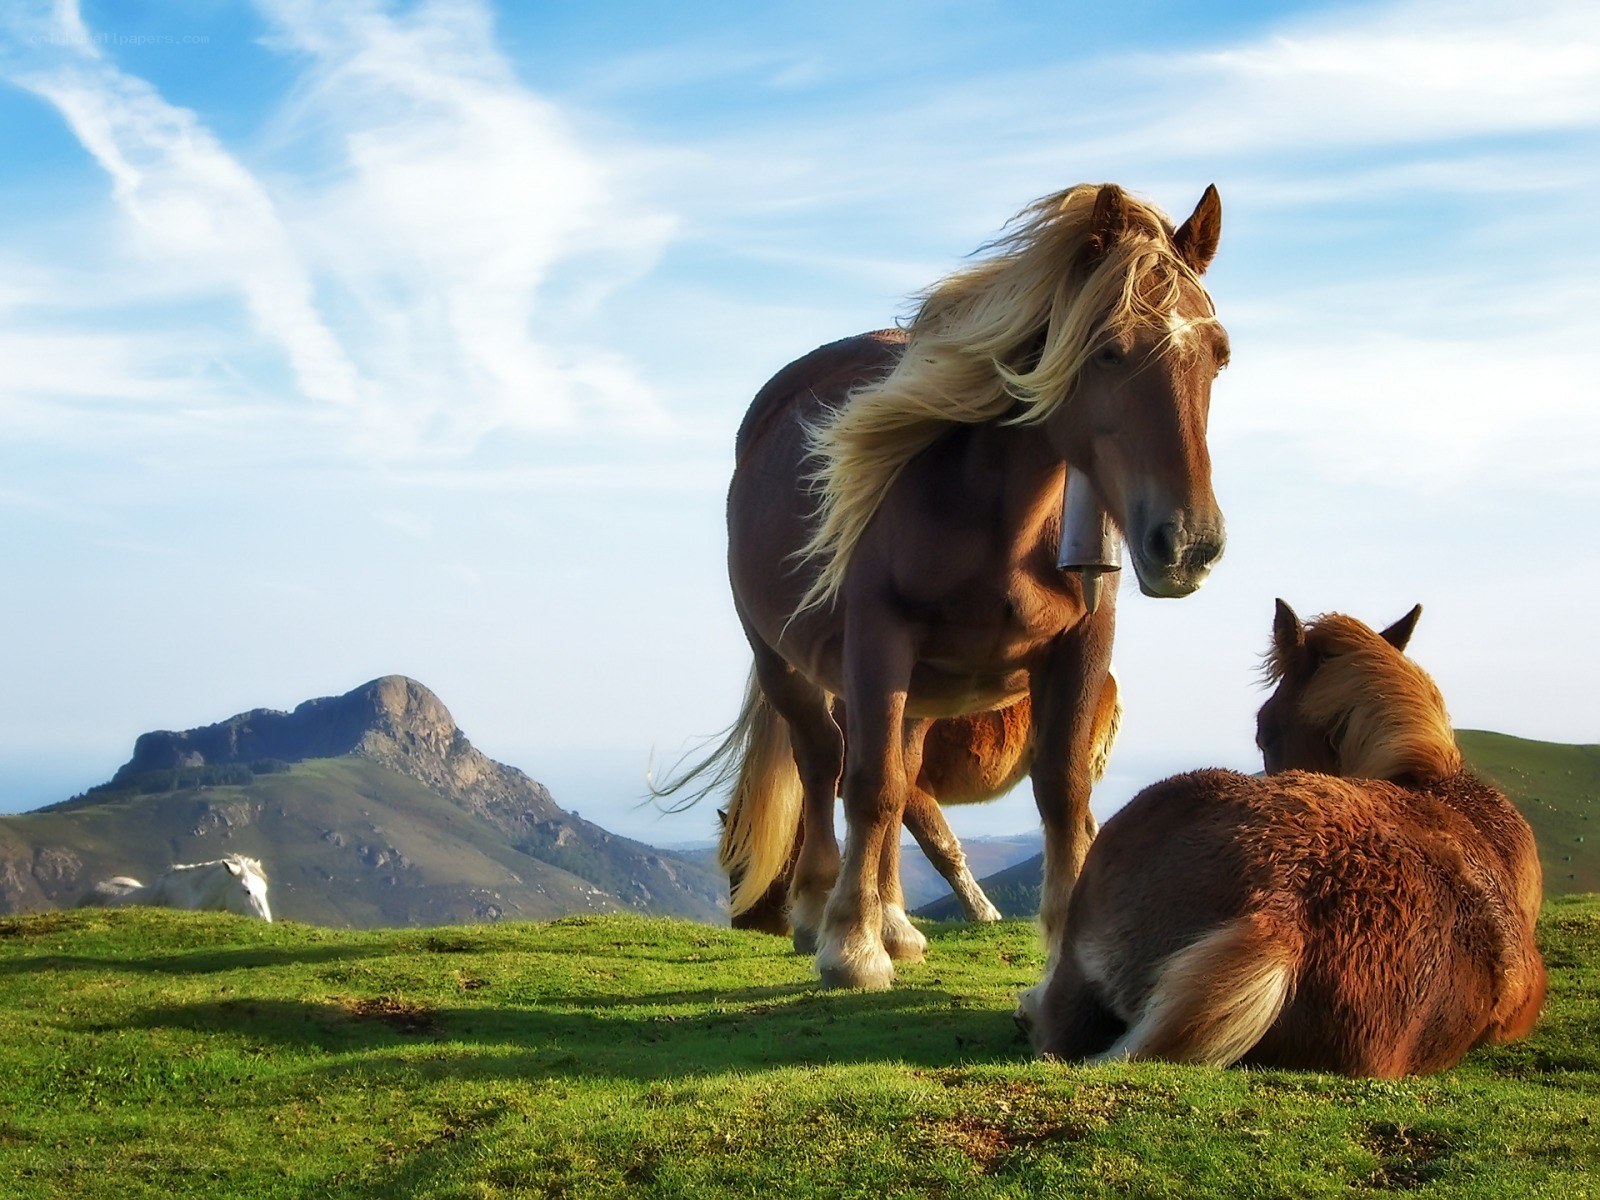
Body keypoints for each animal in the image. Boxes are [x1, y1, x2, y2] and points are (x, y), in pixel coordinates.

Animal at [671, 182, 1229, 988]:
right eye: (1108, 350)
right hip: (790, 662)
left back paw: (896, 921)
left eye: (1218, 356)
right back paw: (821, 912)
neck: (995, 515)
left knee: (897, 773)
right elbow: (868, 787)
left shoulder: (1083, 646)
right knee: (825, 762)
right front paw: (851, 948)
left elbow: (1062, 794)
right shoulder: (878, 642)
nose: (1187, 545)